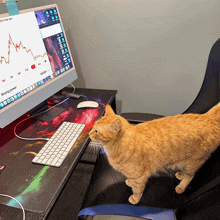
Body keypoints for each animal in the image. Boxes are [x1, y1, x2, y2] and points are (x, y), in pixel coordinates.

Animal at [89, 104, 220, 205]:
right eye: (93, 126)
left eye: (96, 131)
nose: (89, 133)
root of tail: (208, 117)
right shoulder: (133, 175)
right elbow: (131, 180)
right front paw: (129, 182)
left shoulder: (139, 177)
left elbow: (137, 190)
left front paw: (135, 199)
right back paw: (180, 174)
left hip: (193, 162)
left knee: (190, 176)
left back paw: (181, 187)